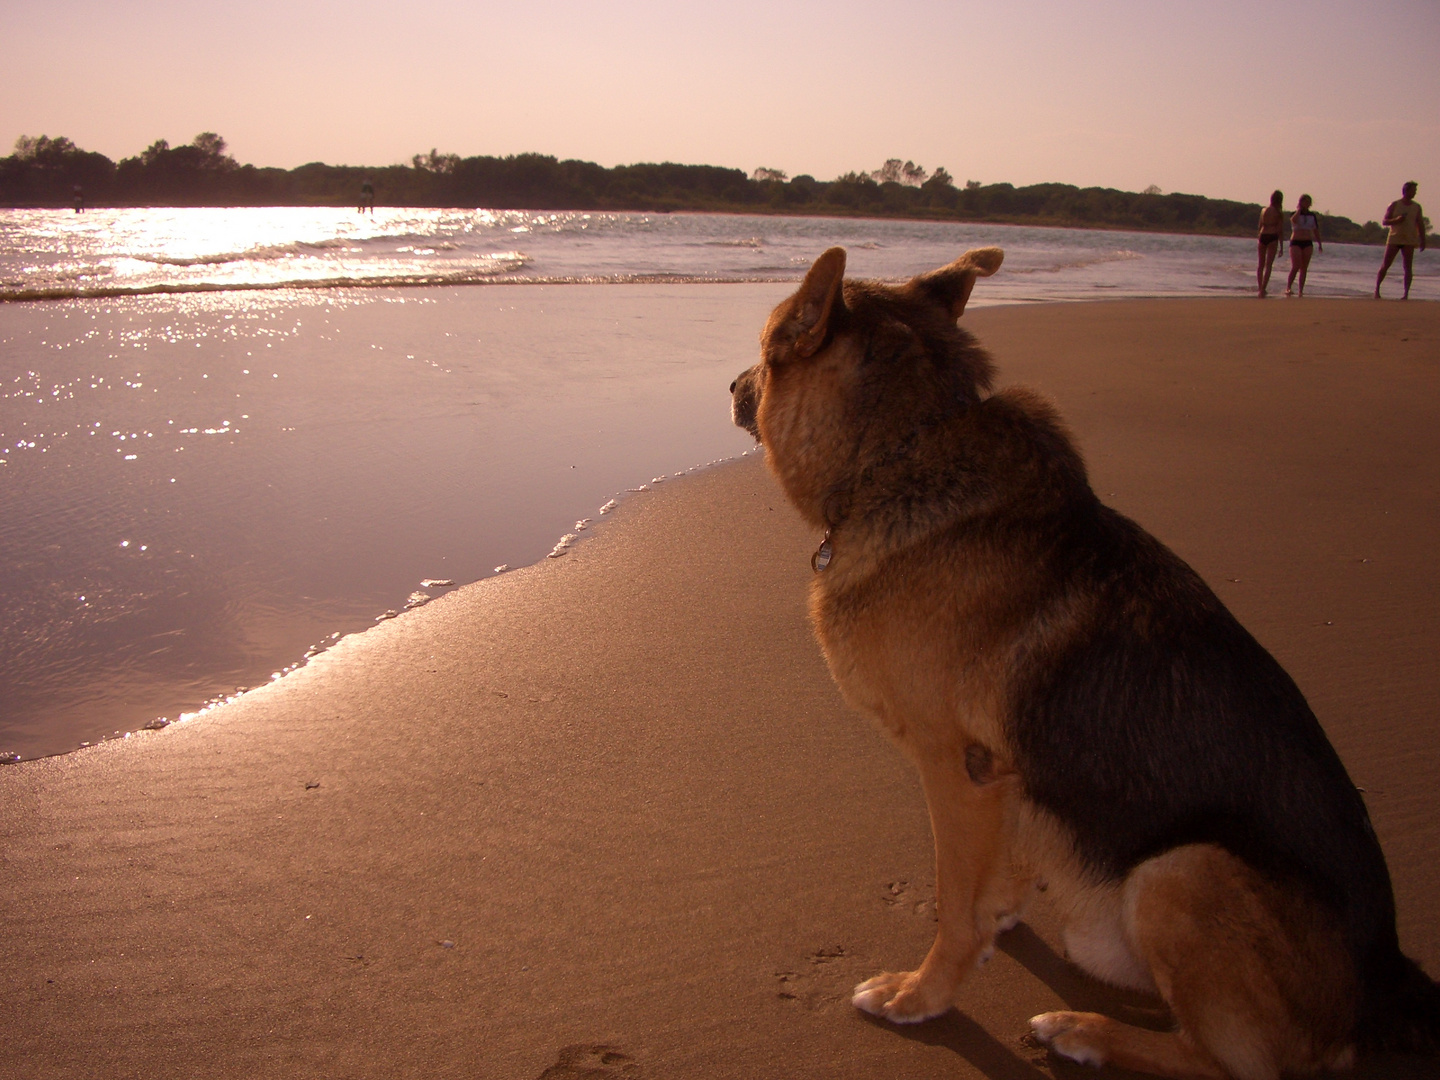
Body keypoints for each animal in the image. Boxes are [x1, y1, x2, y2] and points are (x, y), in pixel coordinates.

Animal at [737, 249, 1434, 1077]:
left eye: (767, 351)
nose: (734, 388)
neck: (904, 449)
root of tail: (1385, 988)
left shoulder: (955, 768)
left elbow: (952, 904)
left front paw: (923, 993)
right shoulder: (1002, 777)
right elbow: (989, 880)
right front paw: (996, 916)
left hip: (1182, 871)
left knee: (1227, 1063)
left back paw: (1084, 1031)